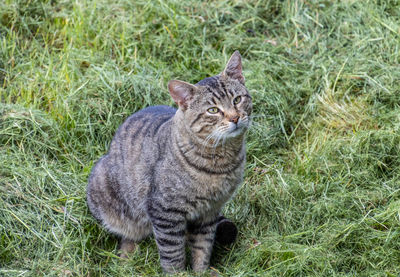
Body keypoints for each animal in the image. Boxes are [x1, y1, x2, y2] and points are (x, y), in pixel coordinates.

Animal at [86, 50, 252, 272]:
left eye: (237, 100)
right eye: (213, 110)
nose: (235, 118)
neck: (220, 162)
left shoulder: (210, 212)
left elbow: (202, 247)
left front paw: (201, 271)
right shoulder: (164, 211)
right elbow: (173, 252)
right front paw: (178, 273)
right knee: (128, 234)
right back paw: (126, 258)